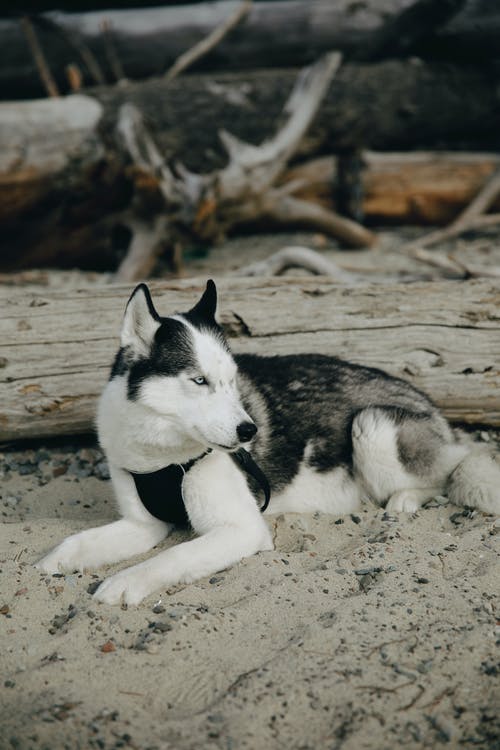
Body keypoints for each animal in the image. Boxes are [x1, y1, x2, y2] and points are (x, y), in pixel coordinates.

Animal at [37, 282, 500, 604]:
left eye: (230, 380)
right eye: (199, 380)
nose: (249, 432)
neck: (164, 455)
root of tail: (429, 402)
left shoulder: (241, 530)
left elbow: (172, 557)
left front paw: (126, 582)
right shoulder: (142, 524)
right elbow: (78, 542)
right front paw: (54, 559)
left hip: (373, 427)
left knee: (454, 468)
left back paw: (407, 497)